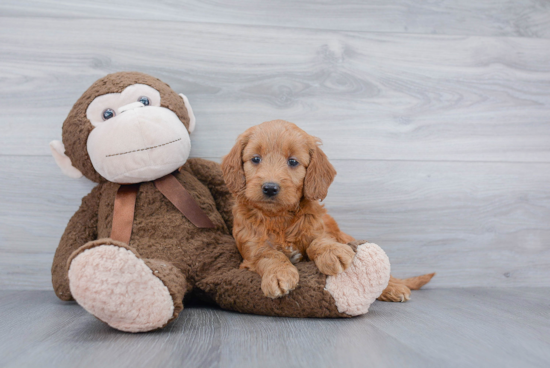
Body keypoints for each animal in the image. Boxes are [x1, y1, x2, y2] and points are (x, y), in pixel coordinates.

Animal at [221, 121, 436, 302]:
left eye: (293, 162)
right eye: (255, 159)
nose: (270, 188)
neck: (278, 217)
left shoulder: (317, 229)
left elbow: (319, 240)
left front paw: (332, 252)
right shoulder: (251, 250)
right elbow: (269, 255)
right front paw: (278, 274)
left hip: (343, 235)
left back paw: (394, 287)